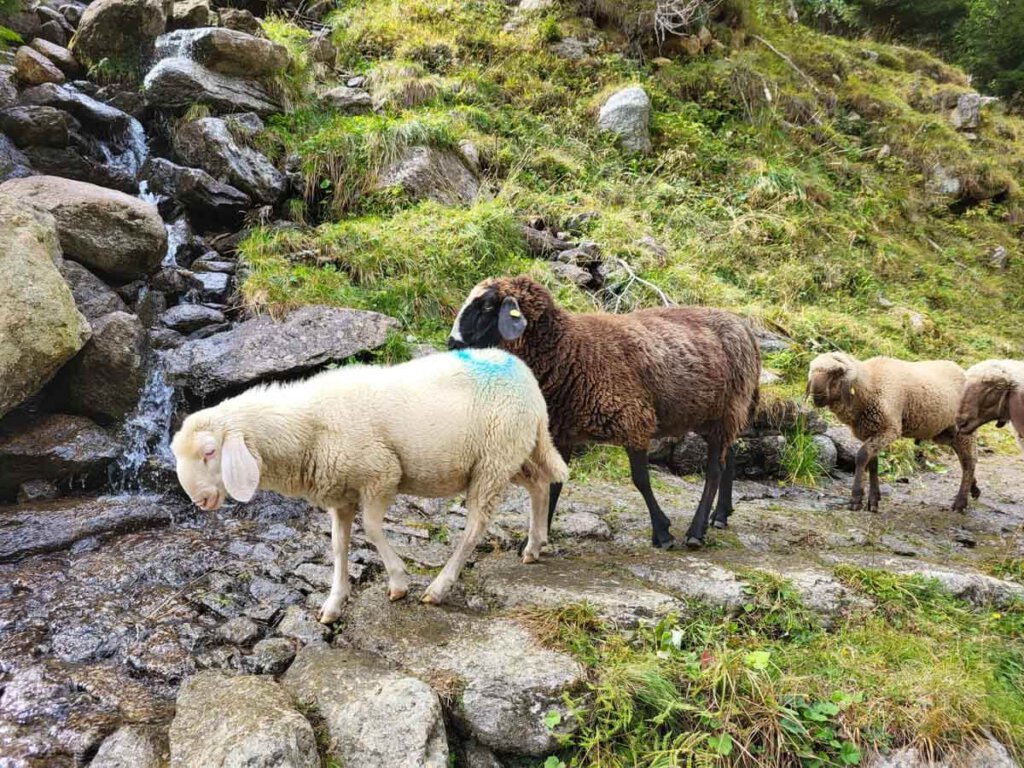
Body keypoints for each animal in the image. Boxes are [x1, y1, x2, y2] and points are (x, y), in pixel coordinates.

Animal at [169, 348, 569, 626]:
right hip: (508, 456)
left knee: (475, 526)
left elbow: (373, 528)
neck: (308, 427)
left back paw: (438, 587)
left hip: (493, 460)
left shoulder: (381, 474)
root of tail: (524, 375)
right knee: (540, 483)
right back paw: (535, 545)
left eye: (210, 451)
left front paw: (398, 581)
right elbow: (338, 545)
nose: (200, 500)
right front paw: (333, 603)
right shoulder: (340, 492)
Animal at [448, 276, 761, 552]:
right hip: (710, 413)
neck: (570, 352)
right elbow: (555, 484)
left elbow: (640, 480)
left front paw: (662, 533)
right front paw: (536, 539)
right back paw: (720, 516)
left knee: (714, 470)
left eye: (488, 306)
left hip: (726, 410)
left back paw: (697, 531)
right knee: (730, 455)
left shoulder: (635, 419)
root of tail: (743, 326)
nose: (452, 343)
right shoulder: (562, 431)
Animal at [802, 354, 978, 512]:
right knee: (965, 459)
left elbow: (862, 457)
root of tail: (961, 370)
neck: (871, 384)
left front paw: (856, 499)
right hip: (945, 432)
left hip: (964, 431)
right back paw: (974, 489)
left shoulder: (890, 429)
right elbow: (872, 463)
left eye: (836, 373)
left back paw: (960, 503)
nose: (817, 396)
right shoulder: (870, 431)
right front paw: (873, 500)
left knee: (969, 461)